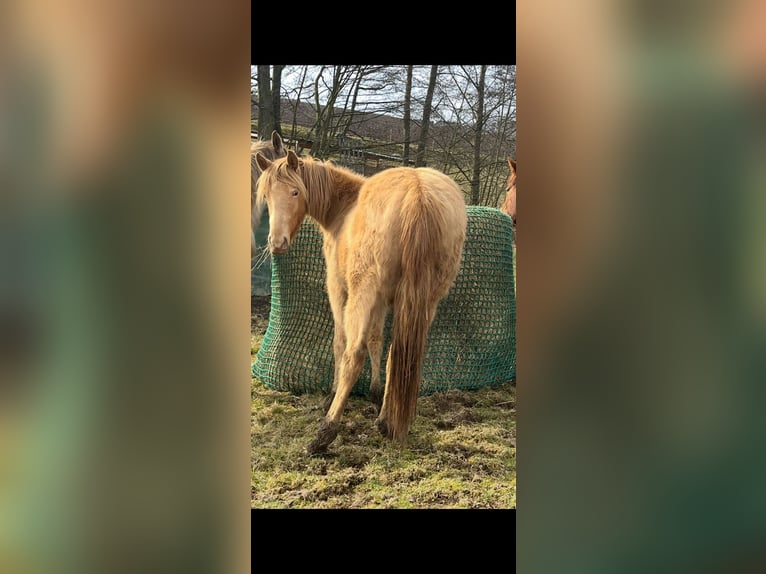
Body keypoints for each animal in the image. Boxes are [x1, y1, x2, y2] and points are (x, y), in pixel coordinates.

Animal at [255, 151, 468, 456]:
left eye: (295, 192)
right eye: (267, 196)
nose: (276, 243)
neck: (344, 207)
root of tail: (418, 195)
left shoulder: (340, 291)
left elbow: (341, 342)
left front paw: (333, 394)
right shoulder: (382, 301)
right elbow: (377, 341)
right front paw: (377, 395)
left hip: (362, 295)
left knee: (353, 356)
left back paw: (326, 431)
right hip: (426, 300)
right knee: (398, 352)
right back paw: (387, 422)